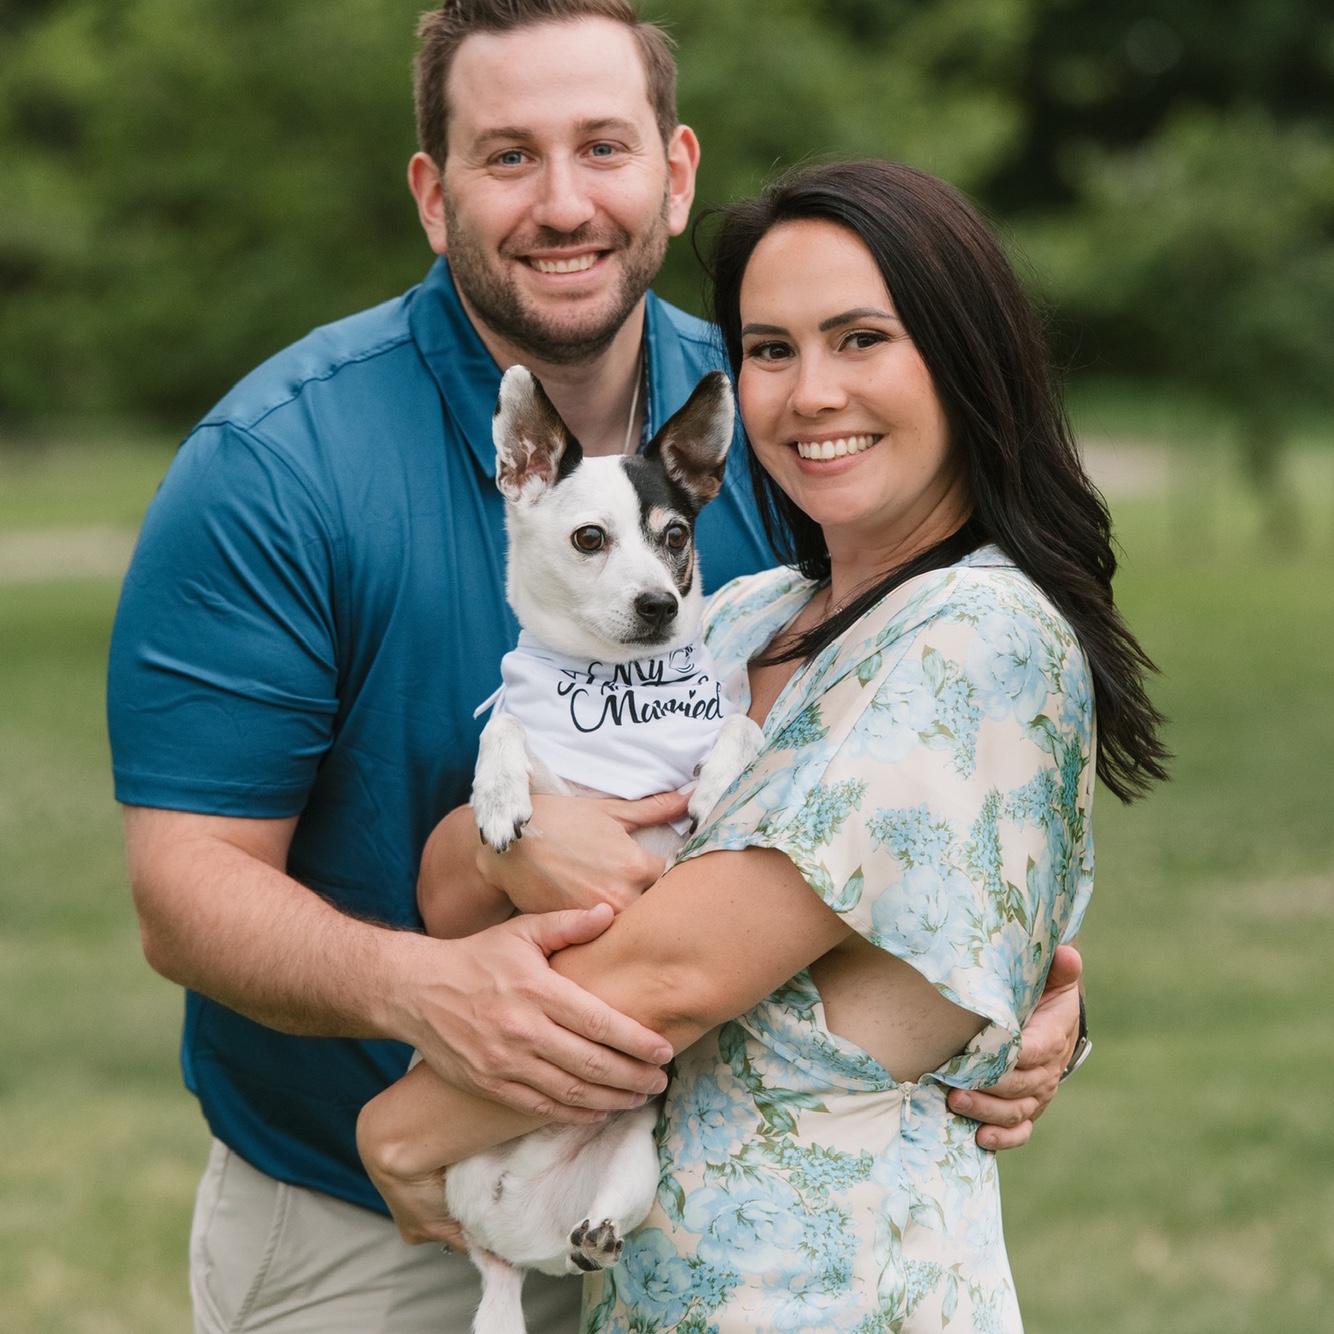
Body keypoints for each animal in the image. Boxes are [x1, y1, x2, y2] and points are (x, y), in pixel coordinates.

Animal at [447, 366, 763, 1334]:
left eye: (676, 538)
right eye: (590, 538)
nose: (659, 603)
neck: (619, 689)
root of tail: (507, 1232)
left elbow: (739, 721)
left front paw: (713, 782)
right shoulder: (534, 747)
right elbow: (506, 723)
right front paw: (499, 797)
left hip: (634, 1157)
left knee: (594, 1227)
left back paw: (594, 1237)